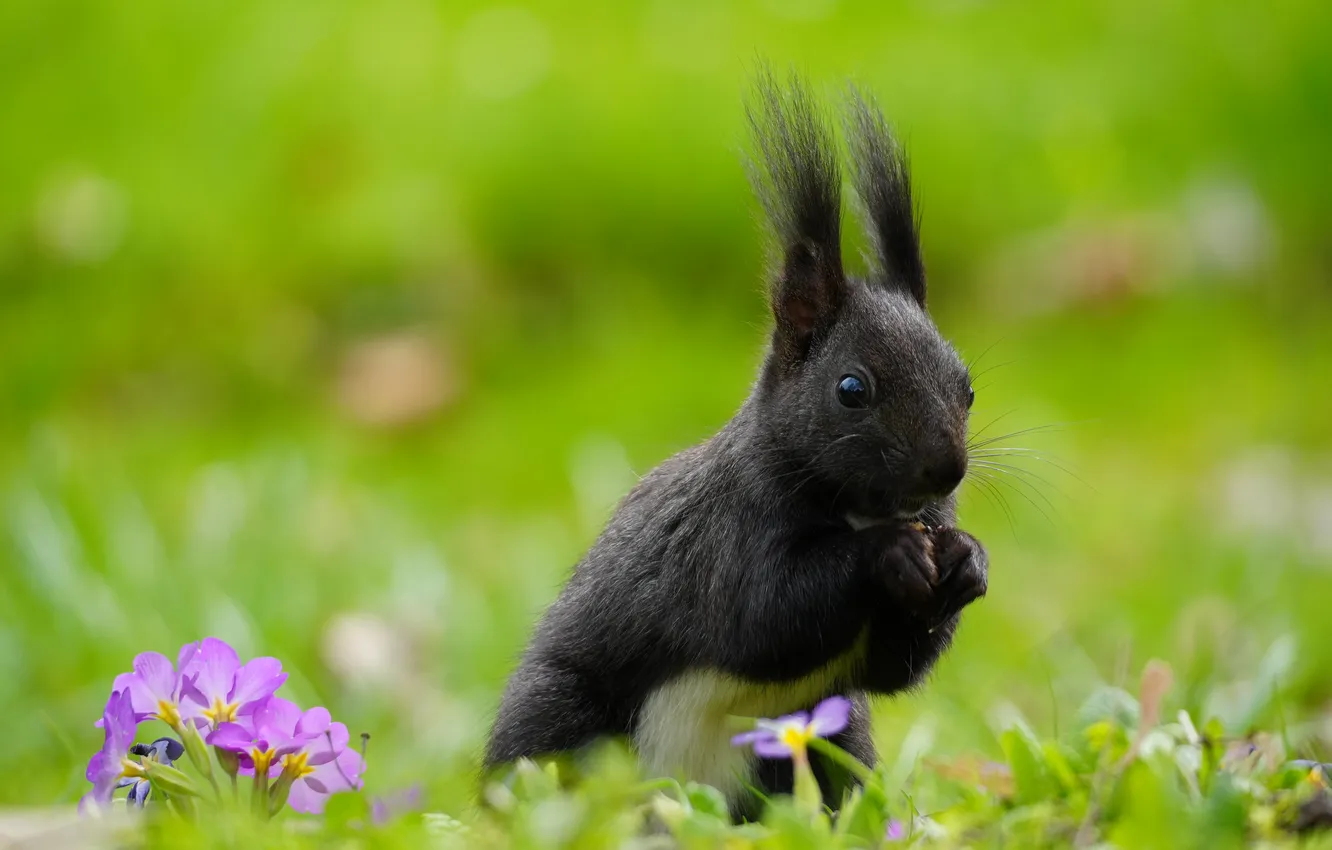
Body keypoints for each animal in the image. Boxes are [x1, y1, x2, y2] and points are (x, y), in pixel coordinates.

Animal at [484, 72, 988, 820]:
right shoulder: (724, 539)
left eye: (969, 387)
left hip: (828, 743)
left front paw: (966, 560)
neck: (858, 508)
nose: (946, 470)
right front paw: (888, 553)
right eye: (851, 388)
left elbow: (893, 668)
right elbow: (764, 614)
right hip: (557, 724)